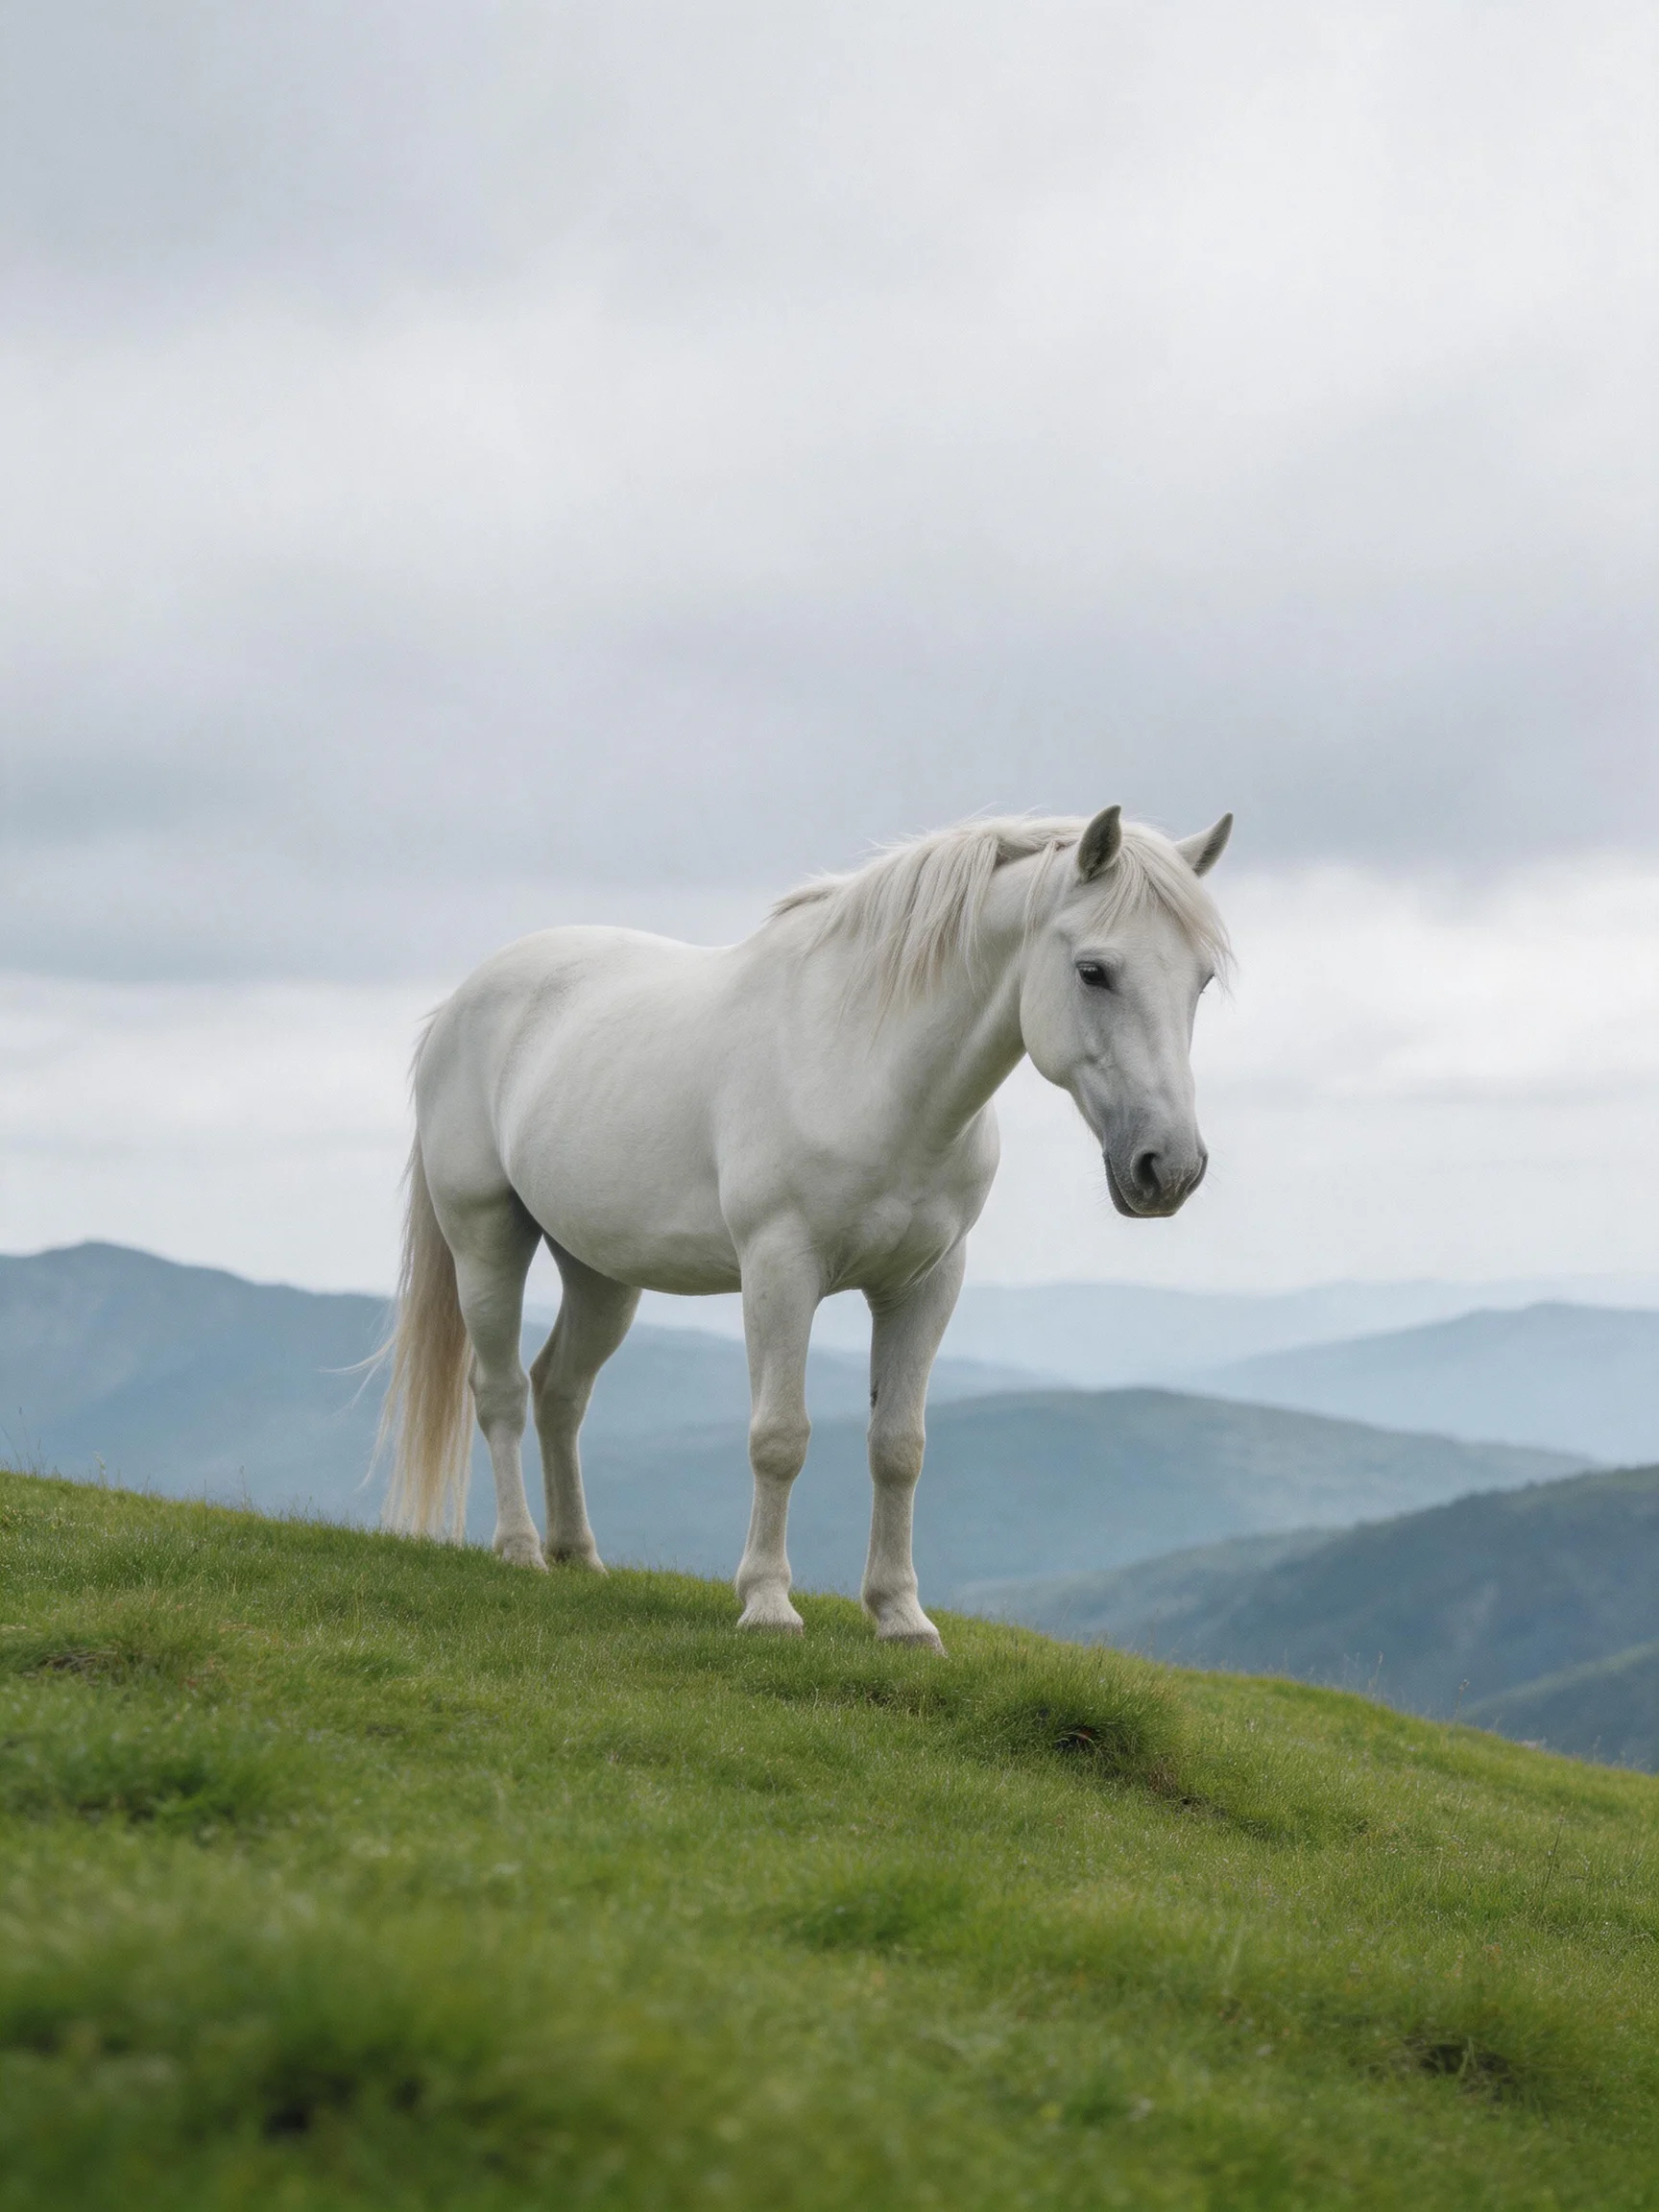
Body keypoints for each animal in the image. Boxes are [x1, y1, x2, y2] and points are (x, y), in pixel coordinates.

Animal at [379, 806, 1233, 1652]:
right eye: (1093, 971)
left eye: (1202, 978)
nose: (1170, 1168)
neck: (868, 1069)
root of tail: (459, 1004)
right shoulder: (780, 1271)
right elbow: (780, 1436)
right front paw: (766, 1603)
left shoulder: (926, 1284)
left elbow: (898, 1447)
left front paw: (900, 1615)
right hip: (486, 1240)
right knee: (501, 1390)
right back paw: (521, 1549)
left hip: (601, 1272)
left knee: (561, 1391)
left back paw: (578, 1555)